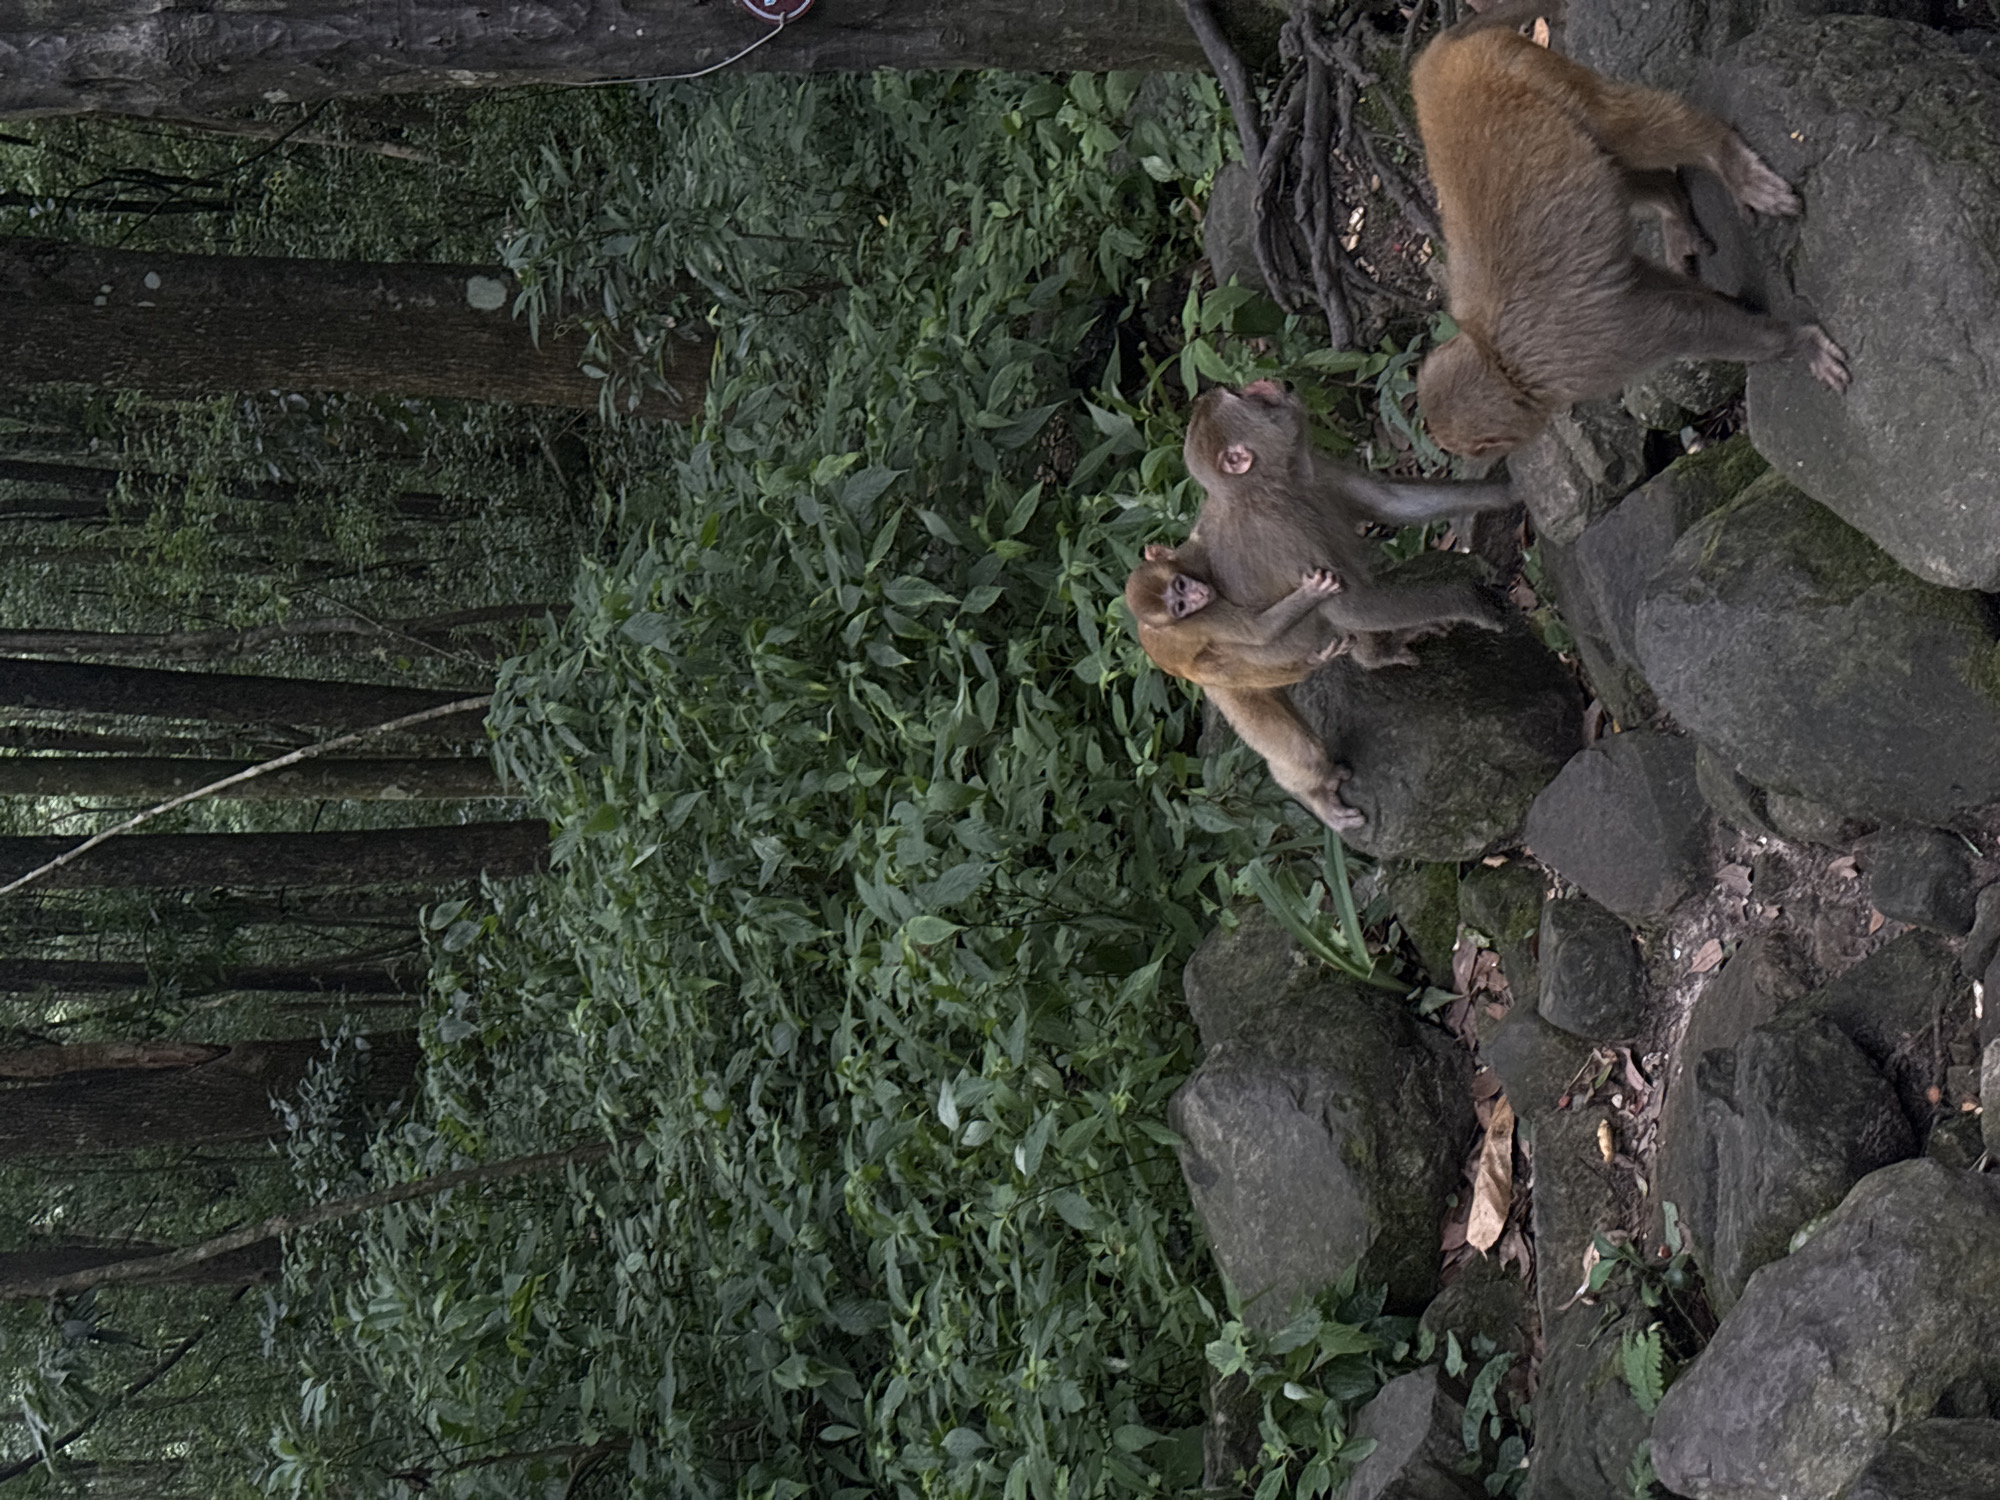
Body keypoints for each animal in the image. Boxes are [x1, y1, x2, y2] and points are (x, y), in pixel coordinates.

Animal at [1410, 0, 1849, 459]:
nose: (1482, 460)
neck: (1498, 362)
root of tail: (1437, 53)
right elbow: (1644, 282)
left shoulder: (1588, 361)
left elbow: (1687, 325)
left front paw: (1796, 343)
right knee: (1608, 161)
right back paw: (1672, 207)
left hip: (1523, 67)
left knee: (1619, 129)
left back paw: (1722, 155)